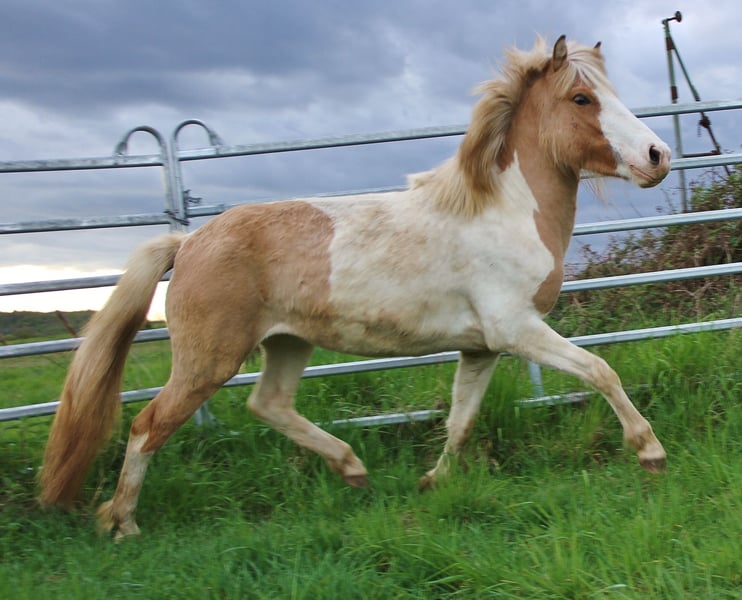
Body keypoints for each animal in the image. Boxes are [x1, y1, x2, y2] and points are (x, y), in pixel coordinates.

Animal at [39, 36, 671, 538]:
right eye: (582, 99)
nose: (657, 155)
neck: (503, 211)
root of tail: (189, 241)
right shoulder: (517, 330)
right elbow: (601, 371)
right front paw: (650, 452)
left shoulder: (482, 346)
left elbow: (461, 419)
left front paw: (434, 481)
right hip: (207, 360)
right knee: (148, 426)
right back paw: (122, 523)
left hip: (287, 343)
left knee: (268, 403)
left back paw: (353, 469)